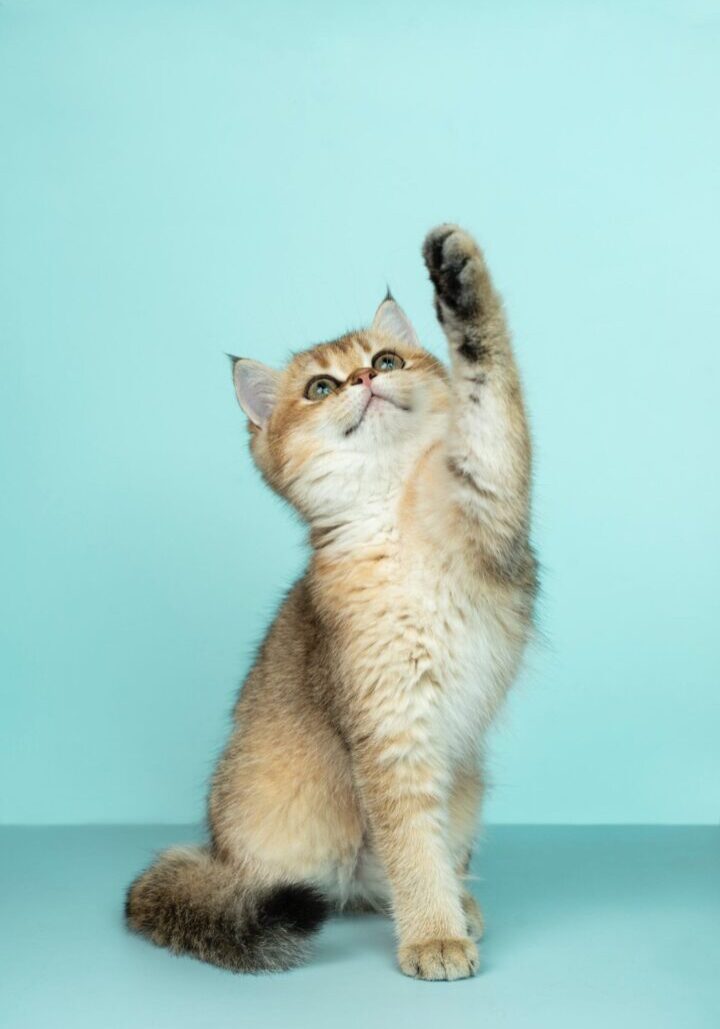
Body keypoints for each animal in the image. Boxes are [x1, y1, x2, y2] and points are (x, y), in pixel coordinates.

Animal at [126, 225, 538, 979]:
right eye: (320, 388)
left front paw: (458, 274)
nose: (365, 380)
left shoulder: (491, 497)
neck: (395, 510)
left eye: (386, 359)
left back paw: (461, 901)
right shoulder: (388, 727)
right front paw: (432, 937)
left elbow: (489, 386)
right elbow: (411, 845)